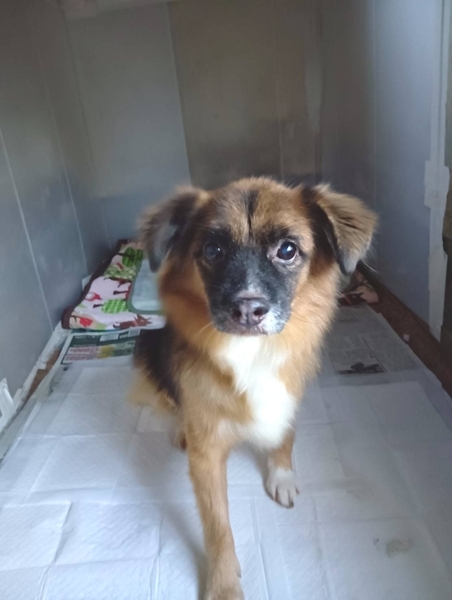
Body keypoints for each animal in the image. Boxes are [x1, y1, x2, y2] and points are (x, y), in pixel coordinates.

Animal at [129, 177, 377, 600]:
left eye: (287, 250)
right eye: (212, 250)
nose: (247, 309)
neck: (252, 352)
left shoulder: (290, 392)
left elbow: (286, 433)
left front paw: (282, 474)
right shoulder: (207, 454)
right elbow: (217, 526)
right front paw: (224, 585)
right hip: (148, 352)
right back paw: (180, 429)